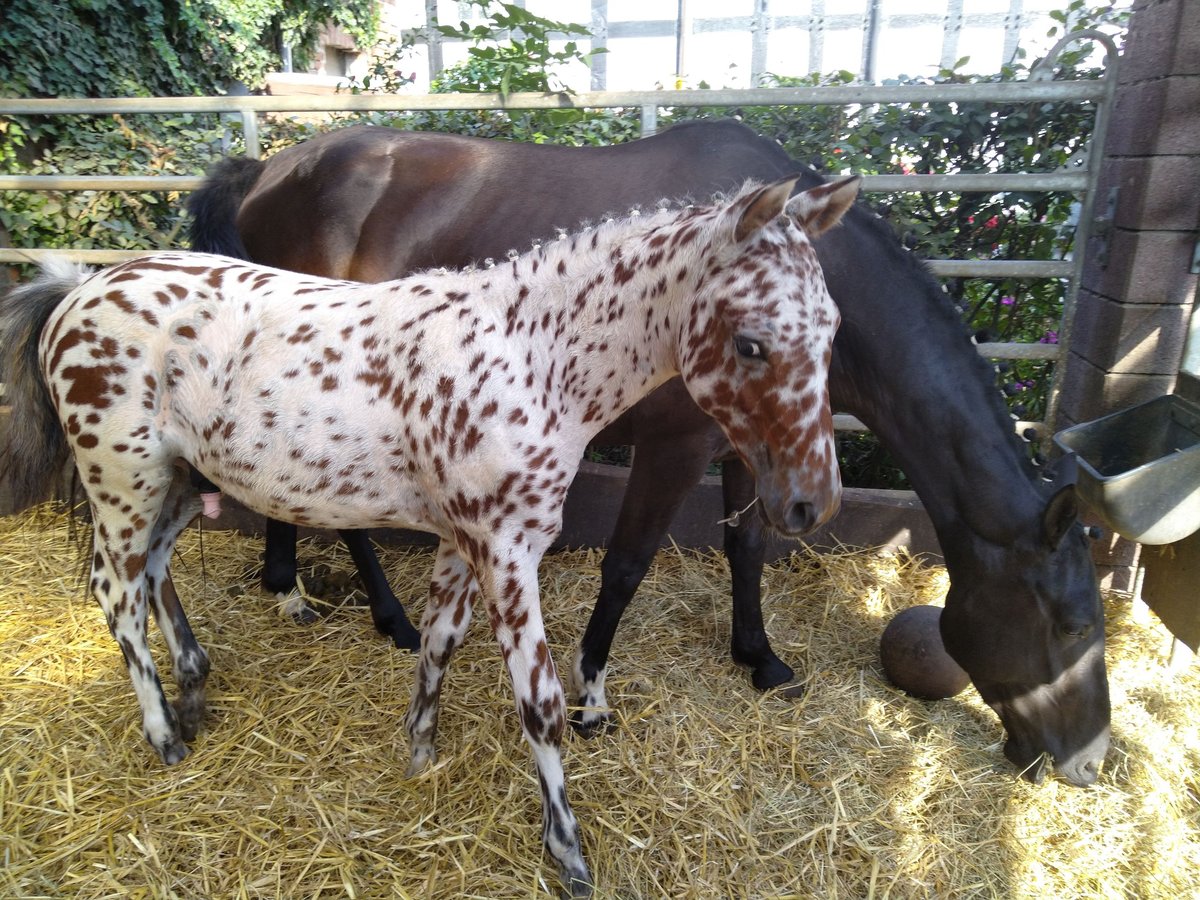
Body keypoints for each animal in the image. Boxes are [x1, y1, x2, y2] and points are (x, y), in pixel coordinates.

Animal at [4, 174, 859, 897]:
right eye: (750, 342)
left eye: (832, 331)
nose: (811, 505)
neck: (530, 357)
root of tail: (76, 290)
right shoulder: (509, 550)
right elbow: (541, 704)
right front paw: (568, 851)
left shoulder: (465, 539)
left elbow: (440, 642)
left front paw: (419, 754)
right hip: (123, 479)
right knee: (116, 590)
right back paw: (163, 735)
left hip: (179, 483)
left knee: (152, 576)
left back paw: (193, 687)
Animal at [189, 121, 1113, 787]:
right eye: (1072, 623)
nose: (1089, 762)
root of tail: (268, 169)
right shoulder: (677, 447)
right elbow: (628, 564)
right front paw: (593, 699)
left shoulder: (750, 445)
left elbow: (750, 546)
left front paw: (760, 657)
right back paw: (384, 614)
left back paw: (288, 584)